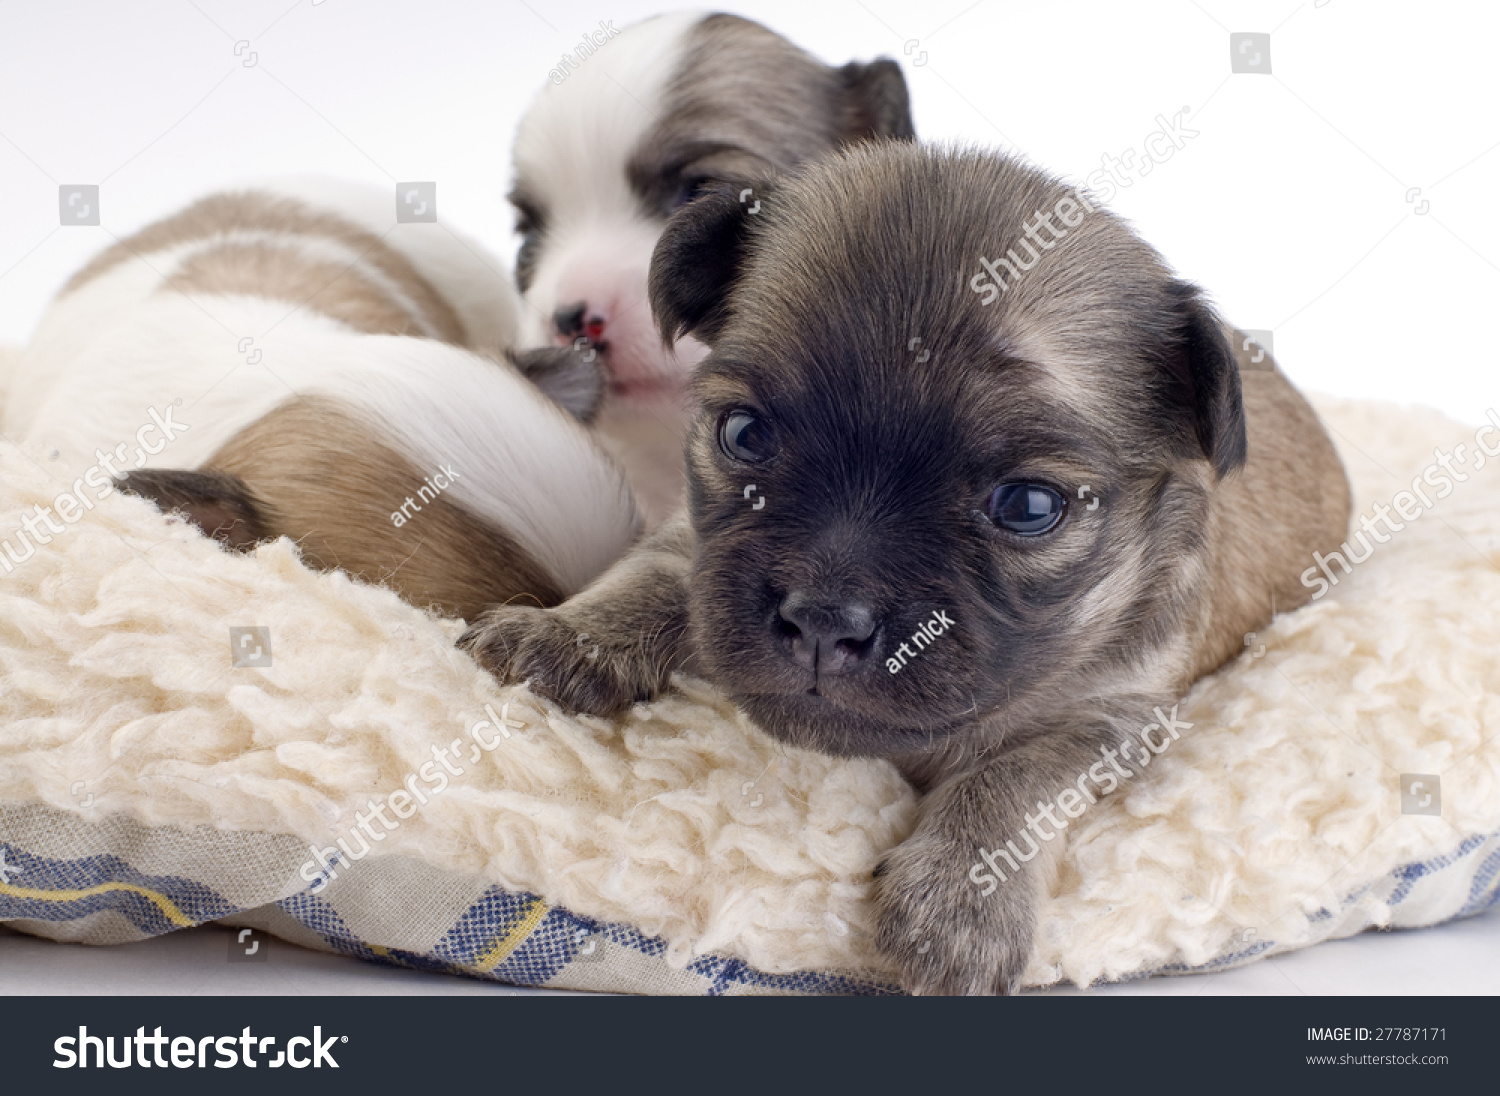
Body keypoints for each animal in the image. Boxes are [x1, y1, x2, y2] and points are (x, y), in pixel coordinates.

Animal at [462, 139, 1356, 995]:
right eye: (744, 433)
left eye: (1028, 506)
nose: (824, 620)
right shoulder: (694, 543)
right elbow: (657, 575)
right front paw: (570, 635)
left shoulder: (1113, 716)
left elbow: (1019, 774)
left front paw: (962, 898)